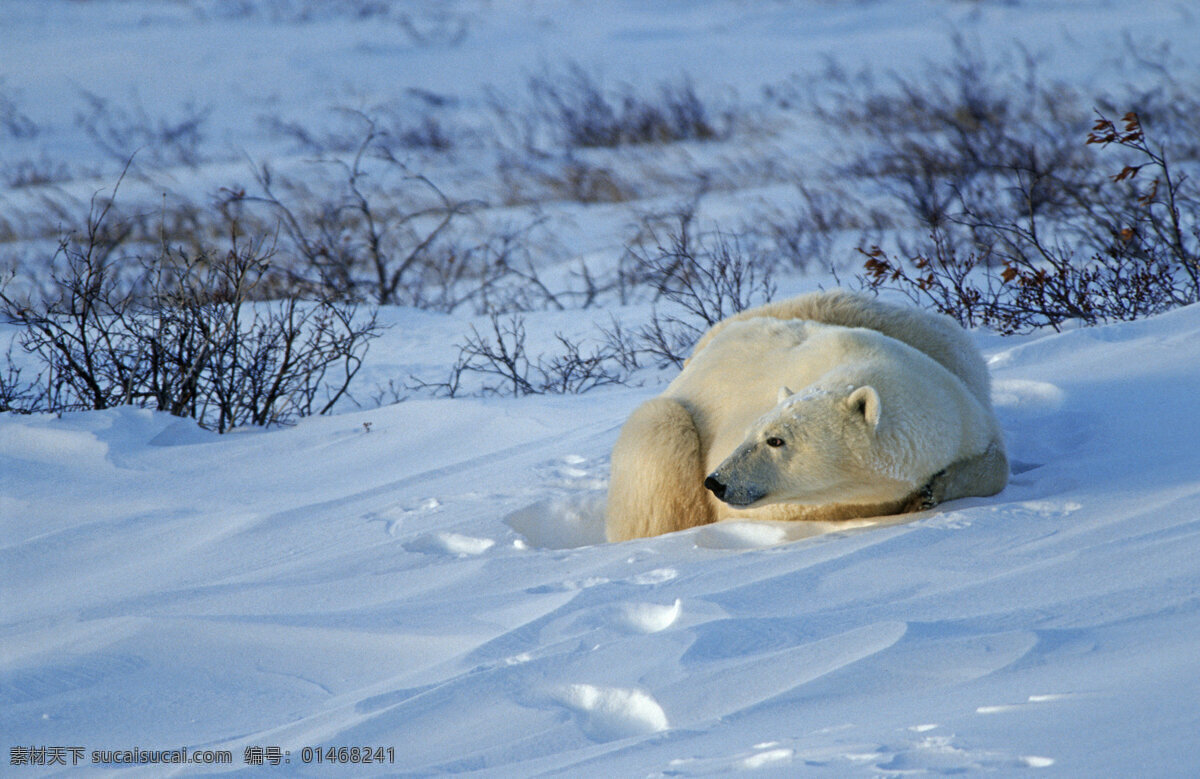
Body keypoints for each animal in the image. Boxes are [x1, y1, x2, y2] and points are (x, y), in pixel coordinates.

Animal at [604, 290, 1008, 540]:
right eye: (752, 432)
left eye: (776, 440)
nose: (716, 482)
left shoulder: (965, 401)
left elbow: (996, 463)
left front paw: (932, 490)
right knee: (660, 435)